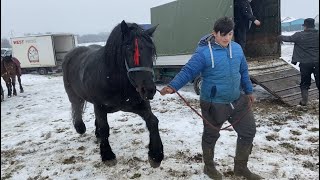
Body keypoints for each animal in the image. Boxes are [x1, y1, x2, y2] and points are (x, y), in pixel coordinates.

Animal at [62, 20, 164, 167]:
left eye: (151, 51)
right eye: (130, 50)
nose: (149, 90)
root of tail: (71, 53)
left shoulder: (138, 105)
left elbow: (153, 121)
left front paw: (156, 155)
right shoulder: (100, 105)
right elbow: (105, 127)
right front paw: (107, 155)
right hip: (74, 95)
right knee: (76, 107)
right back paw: (80, 127)